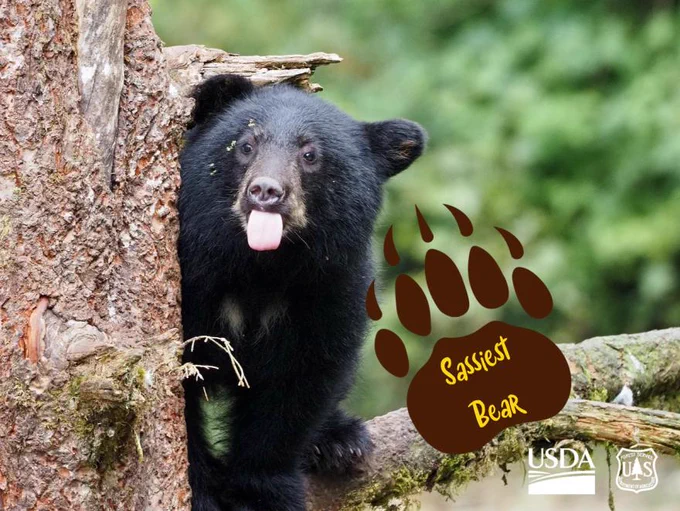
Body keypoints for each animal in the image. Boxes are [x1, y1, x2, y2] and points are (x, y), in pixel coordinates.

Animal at [178, 74, 426, 511]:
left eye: (310, 154)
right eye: (246, 145)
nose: (265, 191)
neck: (261, 267)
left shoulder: (330, 284)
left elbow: (301, 382)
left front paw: (260, 491)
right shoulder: (193, 276)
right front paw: (202, 489)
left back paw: (340, 440)